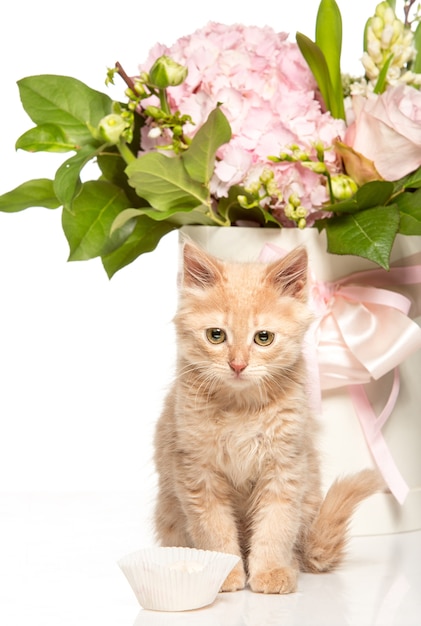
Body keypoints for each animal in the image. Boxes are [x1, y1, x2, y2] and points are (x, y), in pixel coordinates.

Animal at [153, 241, 382, 592]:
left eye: (263, 338)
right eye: (216, 335)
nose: (237, 365)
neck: (241, 410)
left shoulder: (285, 469)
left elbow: (276, 528)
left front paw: (271, 572)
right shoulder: (198, 474)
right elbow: (214, 531)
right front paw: (225, 575)